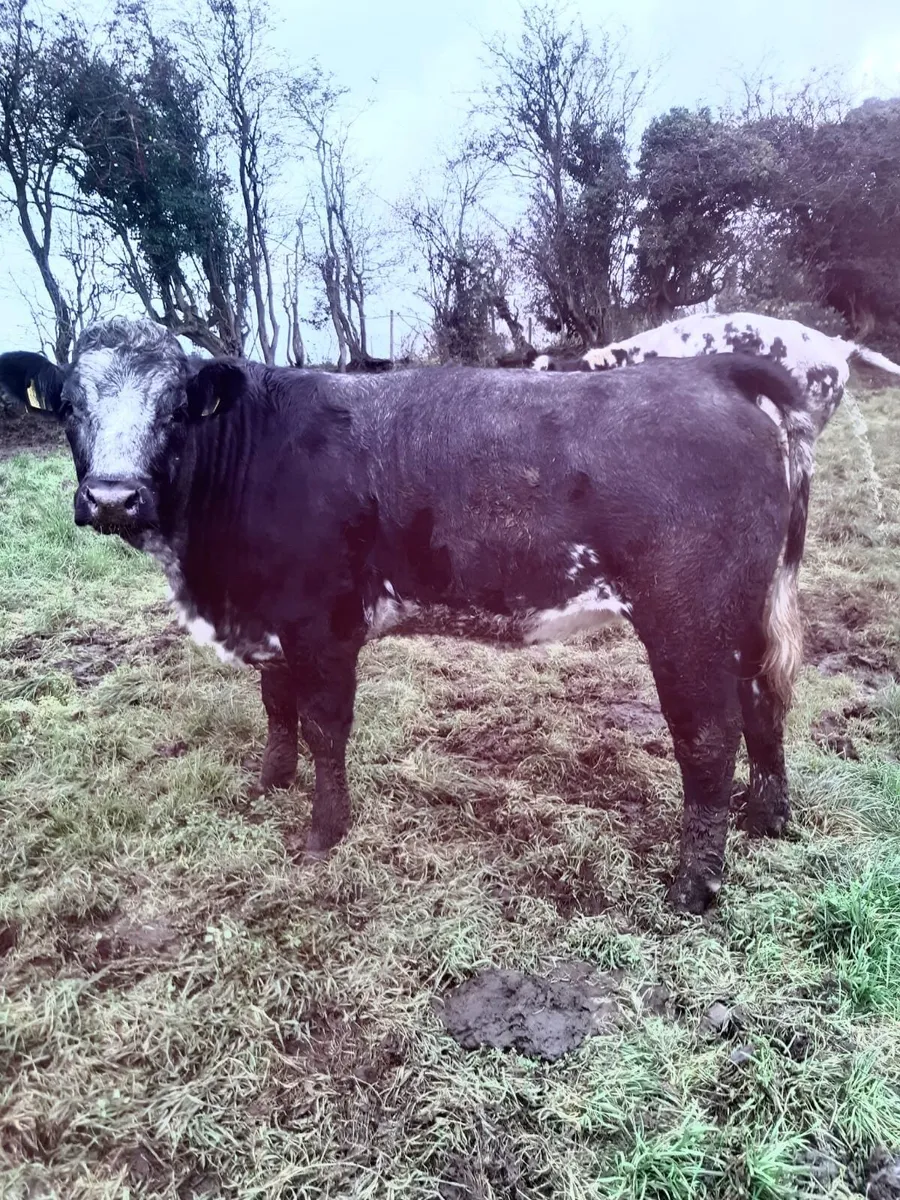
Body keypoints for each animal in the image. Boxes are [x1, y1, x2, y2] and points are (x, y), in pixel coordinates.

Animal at [0, 318, 816, 913]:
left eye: (174, 408)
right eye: (69, 405)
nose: (112, 497)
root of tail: (711, 371)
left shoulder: (322, 622)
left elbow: (324, 725)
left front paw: (323, 832)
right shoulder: (273, 620)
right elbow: (276, 704)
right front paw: (269, 782)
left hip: (688, 617)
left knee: (709, 737)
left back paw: (694, 886)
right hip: (747, 609)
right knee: (764, 701)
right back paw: (766, 818)